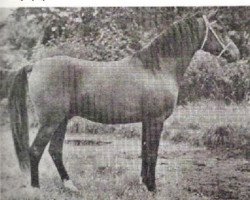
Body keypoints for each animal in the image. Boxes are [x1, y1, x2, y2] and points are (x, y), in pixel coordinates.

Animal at [8, 12, 240, 192]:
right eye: (220, 29)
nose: (236, 54)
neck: (156, 68)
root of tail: (33, 65)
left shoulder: (147, 121)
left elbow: (145, 151)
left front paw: (144, 183)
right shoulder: (156, 120)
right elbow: (152, 153)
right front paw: (152, 188)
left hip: (61, 120)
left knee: (55, 151)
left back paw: (70, 185)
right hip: (51, 121)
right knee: (35, 150)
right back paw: (36, 187)